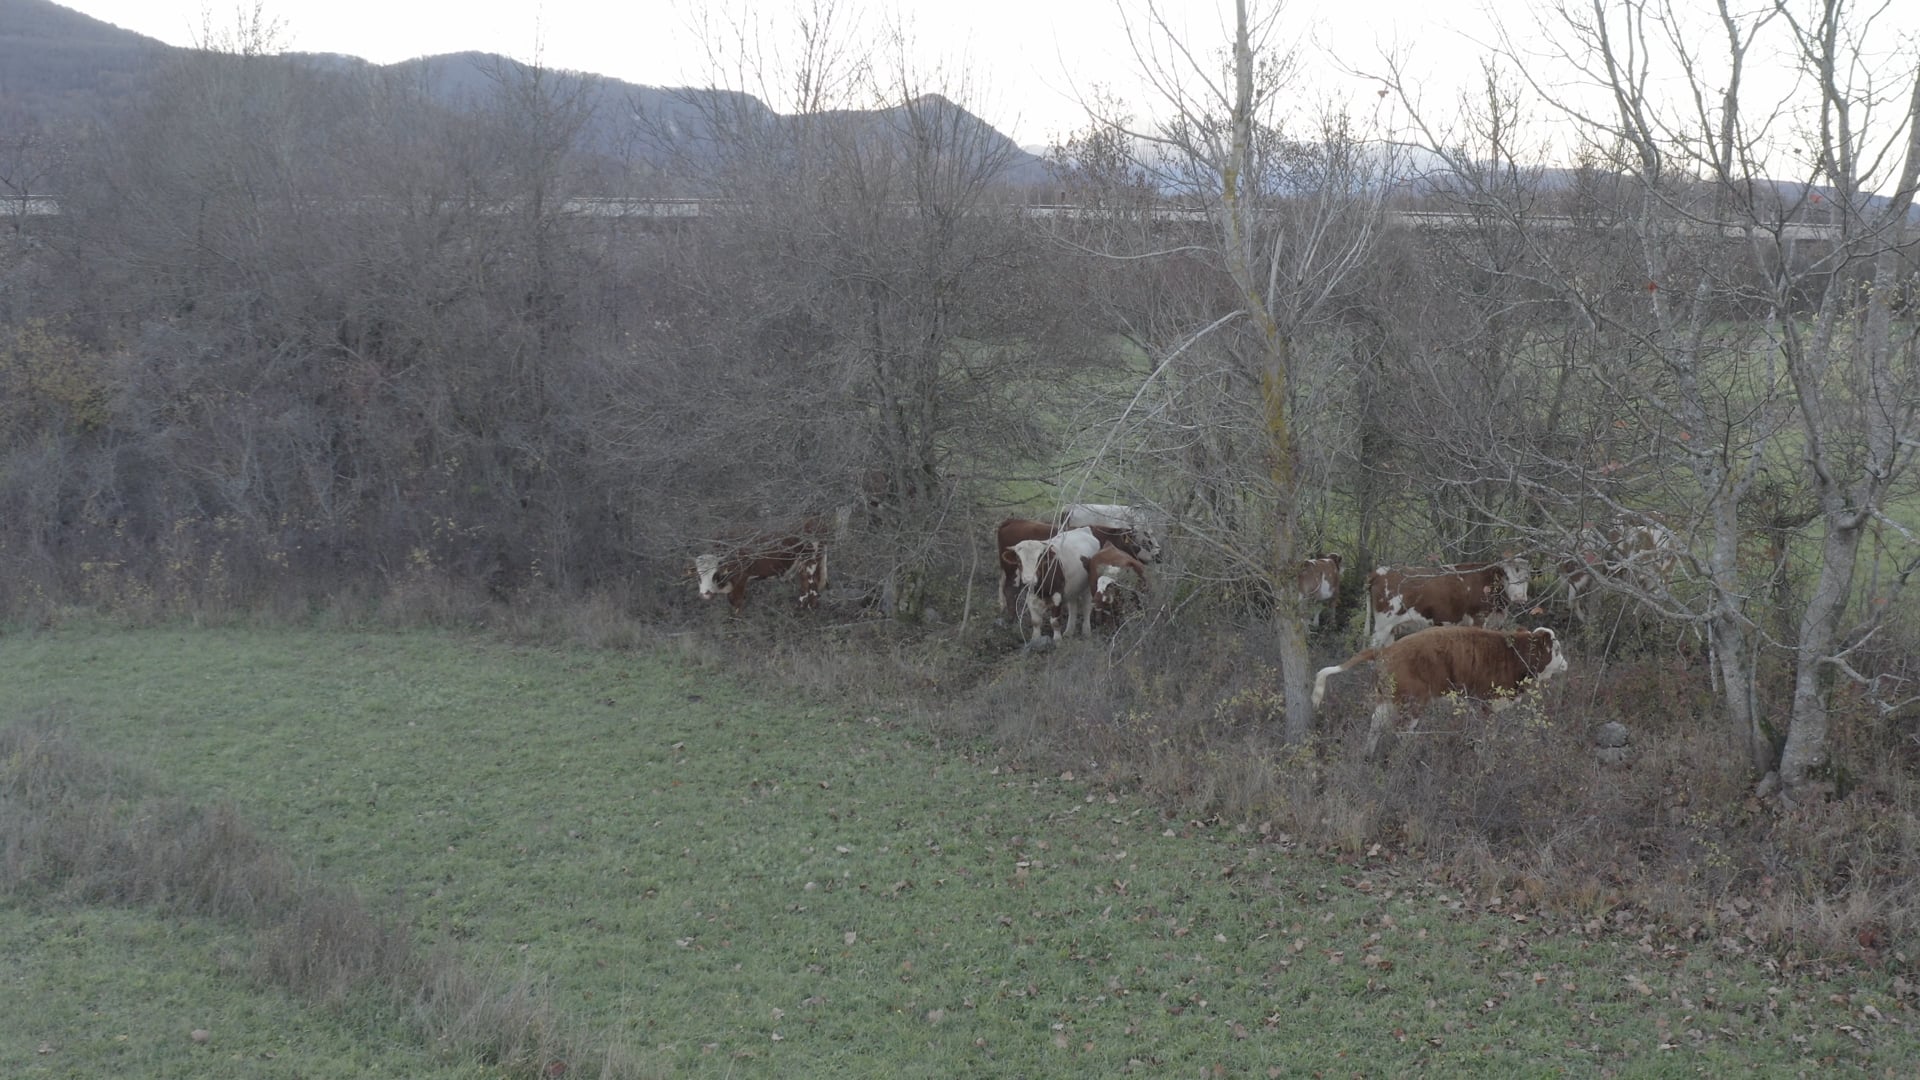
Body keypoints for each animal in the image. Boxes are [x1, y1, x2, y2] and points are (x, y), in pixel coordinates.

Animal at [693, 531, 826, 612]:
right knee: (806, 585)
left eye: (715, 574)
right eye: (698, 576)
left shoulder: (740, 579)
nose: (705, 594)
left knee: (812, 587)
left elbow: (736, 601)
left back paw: (806, 608)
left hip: (809, 563)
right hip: (802, 566)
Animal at [1312, 624, 1569, 758]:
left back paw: (1368, 754)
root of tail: (1386, 651)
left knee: (1376, 723)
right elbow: (1487, 734)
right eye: (1556, 649)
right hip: (1414, 702)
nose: (1566, 663)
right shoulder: (1486, 703)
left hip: (1388, 698)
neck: (1514, 654)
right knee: (1401, 731)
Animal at [1365, 556, 1531, 648]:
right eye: (1507, 576)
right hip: (1383, 625)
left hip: (1391, 628)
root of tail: (1379, 572)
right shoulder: (1478, 618)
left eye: (1526, 578)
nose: (1519, 597)